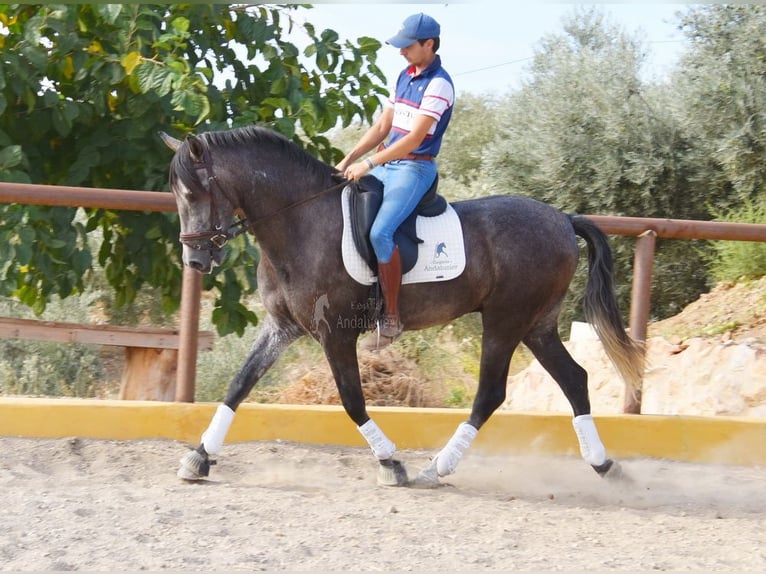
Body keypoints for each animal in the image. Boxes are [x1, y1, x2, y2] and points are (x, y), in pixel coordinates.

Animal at [164, 127, 648, 490]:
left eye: (194, 193)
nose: (195, 261)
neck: (301, 222)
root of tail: (563, 219)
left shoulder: (335, 333)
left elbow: (352, 400)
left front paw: (391, 463)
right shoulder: (282, 327)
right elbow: (239, 385)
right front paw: (199, 457)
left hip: (505, 320)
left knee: (490, 394)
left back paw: (437, 467)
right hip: (537, 324)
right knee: (574, 379)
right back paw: (604, 465)